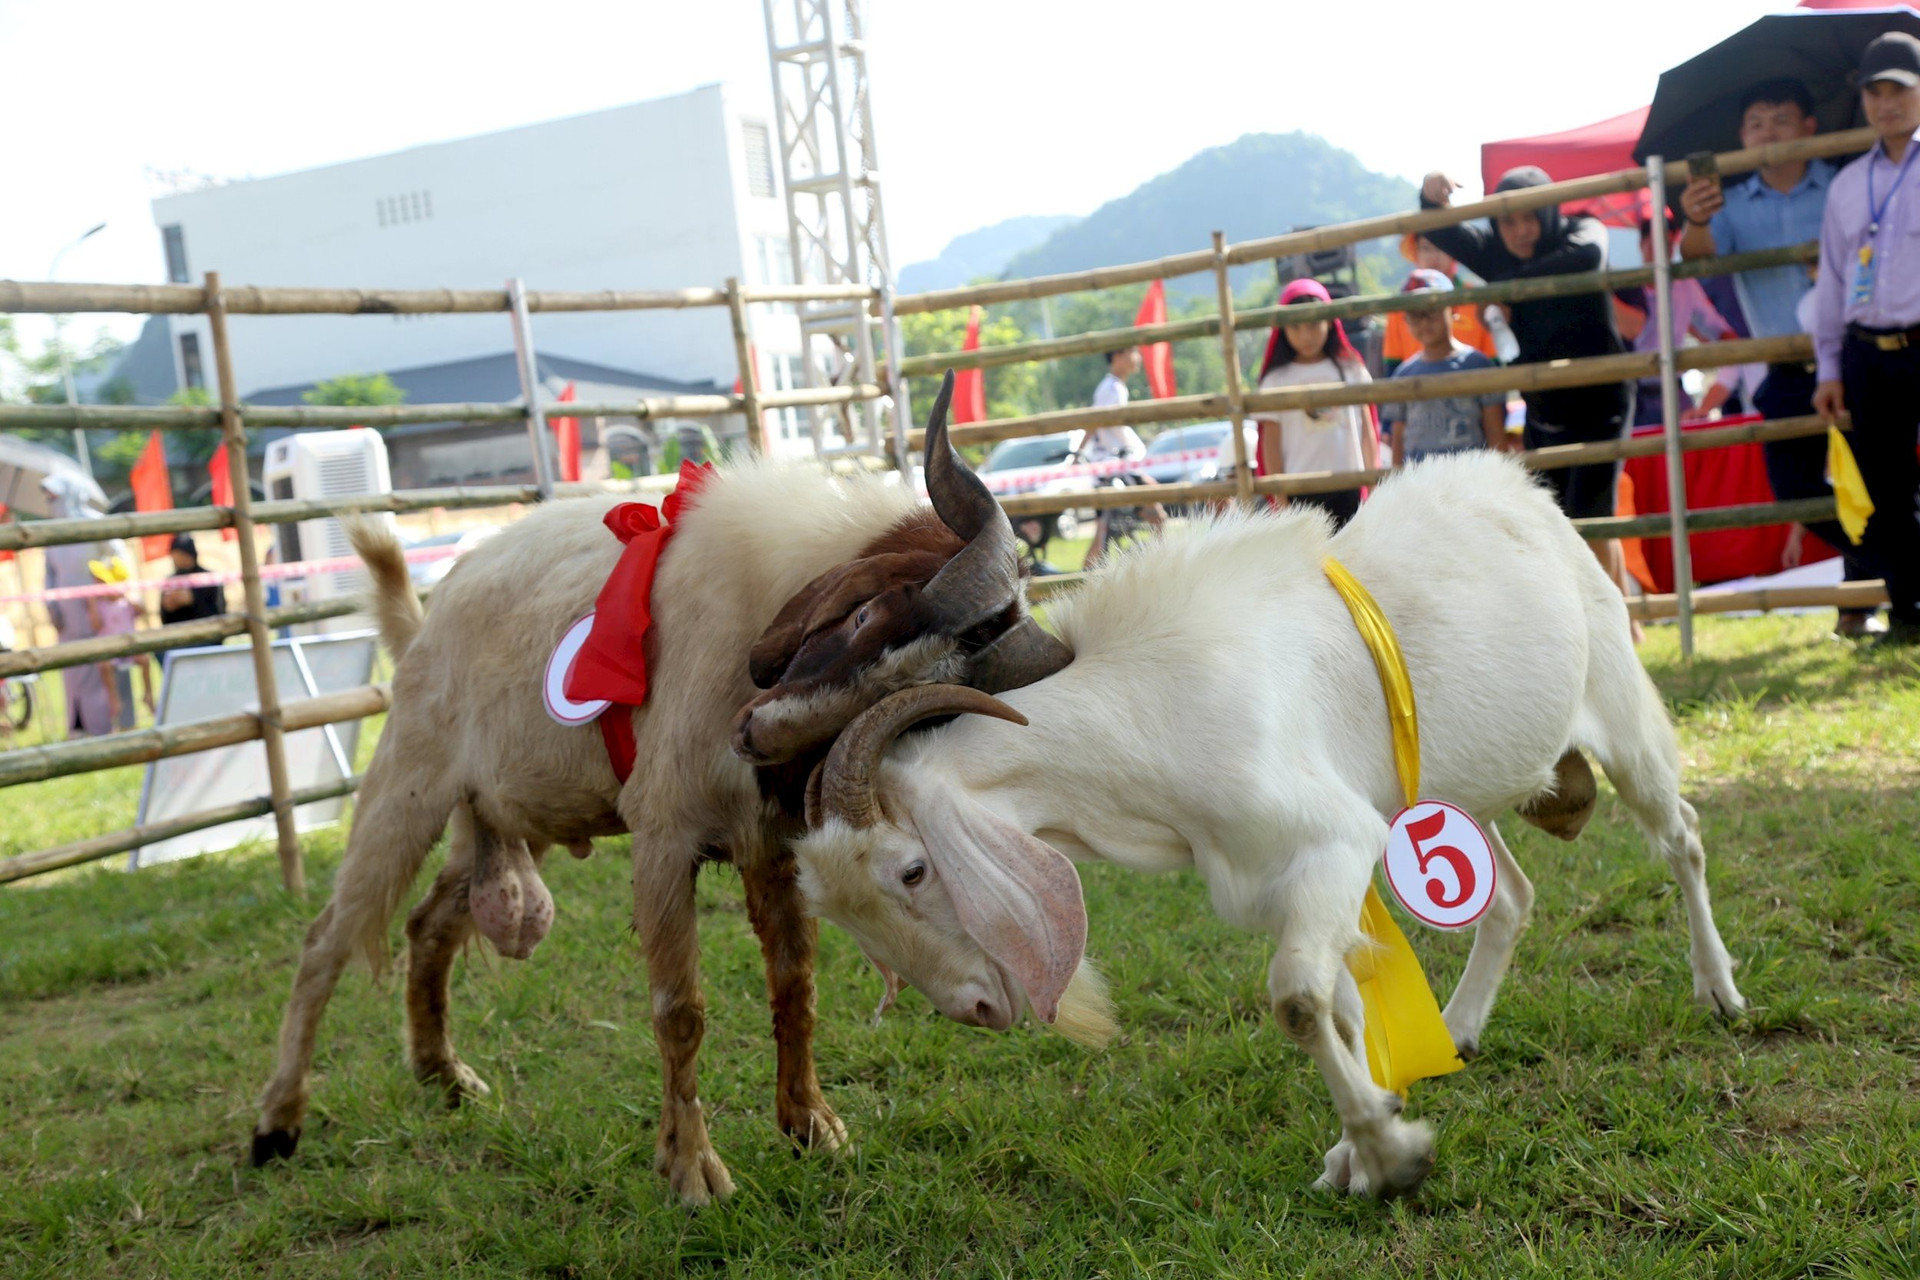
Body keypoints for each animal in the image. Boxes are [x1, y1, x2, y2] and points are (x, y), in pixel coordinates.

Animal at [787, 452, 1751, 1205]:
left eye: (912, 870)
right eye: (841, 921)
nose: (976, 1010)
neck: (1148, 710)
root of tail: (1521, 488)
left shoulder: (1334, 844)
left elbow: (1295, 999)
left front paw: (1388, 1155)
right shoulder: (1287, 875)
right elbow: (1345, 1005)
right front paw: (1364, 1142)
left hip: (1624, 722)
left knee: (1683, 836)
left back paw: (1719, 992)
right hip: (1463, 789)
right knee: (1513, 894)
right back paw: (1463, 1026)